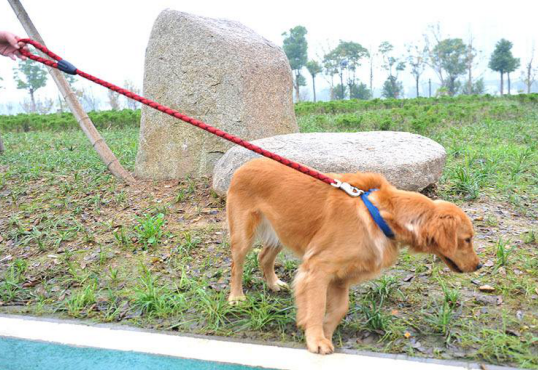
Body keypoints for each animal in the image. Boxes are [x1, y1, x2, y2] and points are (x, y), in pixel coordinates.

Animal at [224, 158, 480, 354]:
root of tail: (247, 163)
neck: (383, 215)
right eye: (467, 239)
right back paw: (236, 297)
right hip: (243, 235)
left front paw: (325, 331)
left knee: (263, 258)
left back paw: (274, 283)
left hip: (281, 231)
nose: (478, 266)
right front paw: (316, 339)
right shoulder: (318, 267)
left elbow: (340, 309)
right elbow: (316, 306)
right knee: (237, 265)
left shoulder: (341, 277)